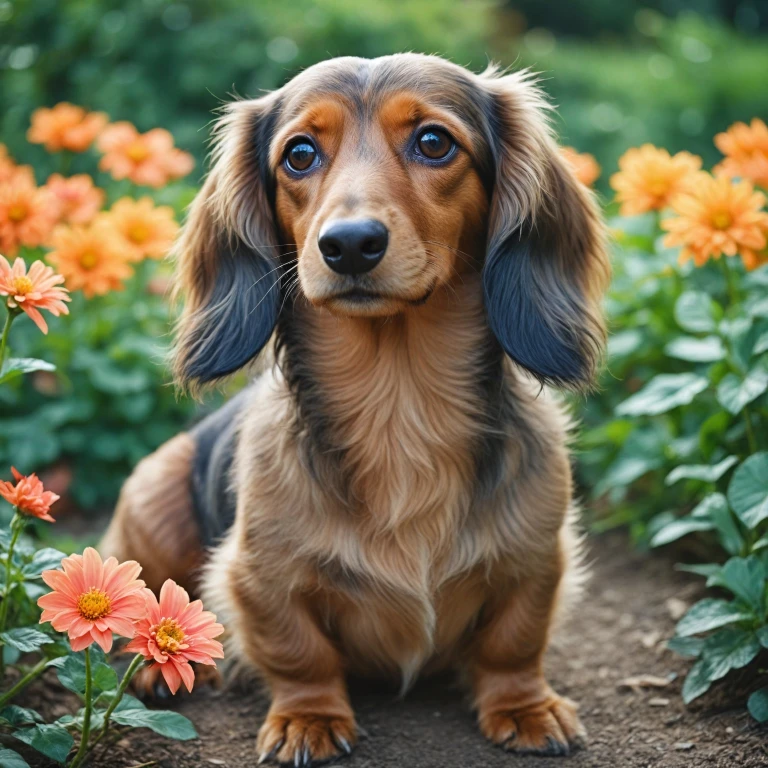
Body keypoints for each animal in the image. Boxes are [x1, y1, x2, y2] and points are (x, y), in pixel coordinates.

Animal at [99, 52, 608, 760]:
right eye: (299, 154)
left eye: (433, 142)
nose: (348, 244)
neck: (399, 406)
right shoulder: (257, 575)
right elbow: (298, 650)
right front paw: (308, 717)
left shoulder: (538, 558)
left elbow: (514, 641)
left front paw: (524, 705)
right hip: (153, 498)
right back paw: (153, 665)